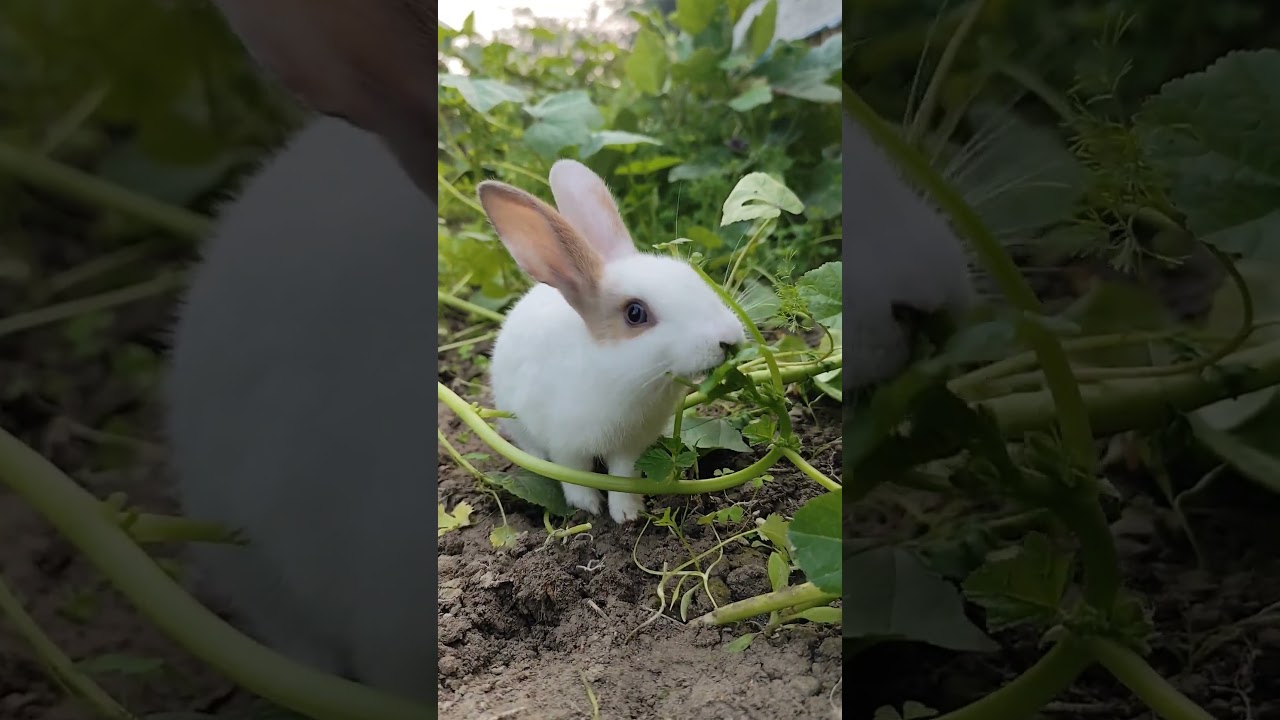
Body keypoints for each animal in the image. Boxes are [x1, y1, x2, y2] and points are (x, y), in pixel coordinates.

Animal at [476, 160, 747, 524]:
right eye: (635, 313)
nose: (729, 338)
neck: (620, 378)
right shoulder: (565, 446)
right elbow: (574, 475)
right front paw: (587, 507)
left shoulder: (629, 447)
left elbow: (623, 477)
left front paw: (628, 513)